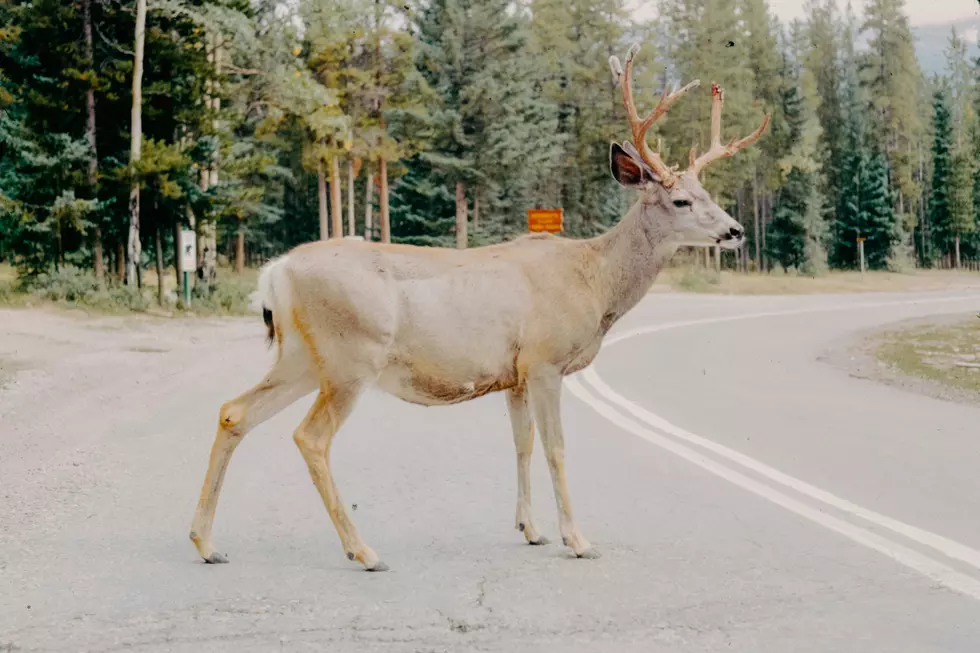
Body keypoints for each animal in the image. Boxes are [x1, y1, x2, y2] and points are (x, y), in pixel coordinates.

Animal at [188, 44, 770, 570]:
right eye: (681, 201)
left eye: (709, 193)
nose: (736, 231)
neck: (594, 281)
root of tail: (276, 272)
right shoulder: (545, 360)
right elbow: (556, 447)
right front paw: (577, 540)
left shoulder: (513, 373)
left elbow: (522, 444)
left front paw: (531, 529)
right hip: (351, 356)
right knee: (309, 438)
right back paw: (363, 550)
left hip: (302, 356)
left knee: (234, 412)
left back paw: (207, 542)